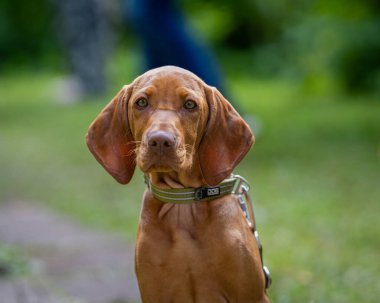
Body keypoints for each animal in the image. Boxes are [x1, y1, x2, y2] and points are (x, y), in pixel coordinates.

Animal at [86, 65, 270, 302]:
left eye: (190, 105)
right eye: (141, 102)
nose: (160, 141)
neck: (182, 203)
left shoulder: (252, 295)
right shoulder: (154, 293)